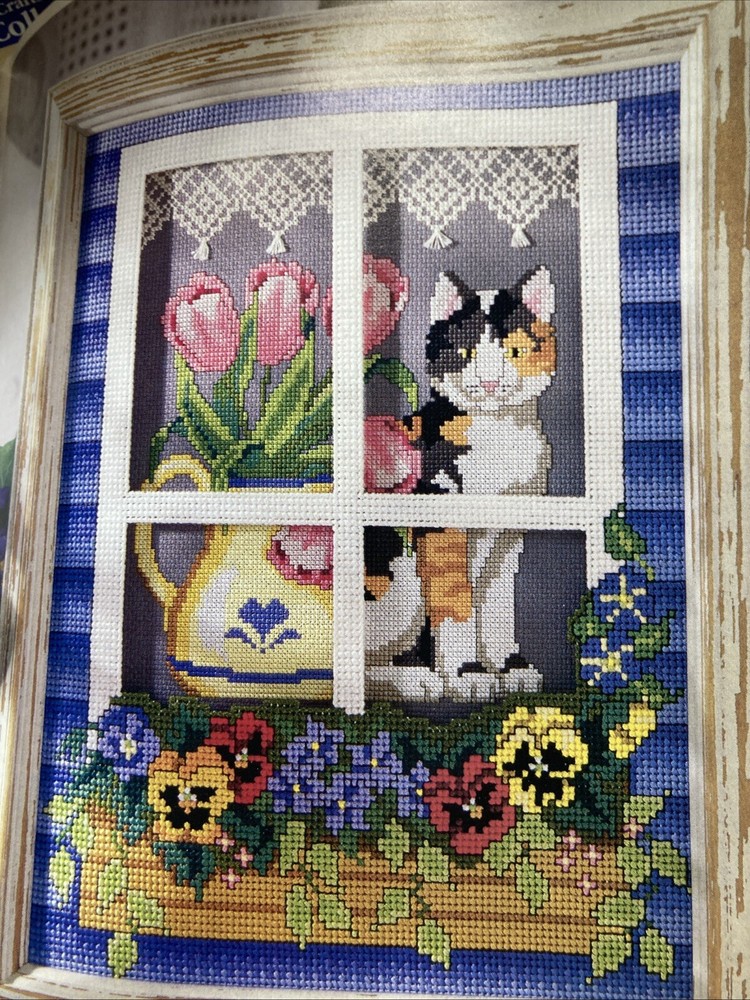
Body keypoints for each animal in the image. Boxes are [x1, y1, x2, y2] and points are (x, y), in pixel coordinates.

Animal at [365, 266, 557, 702]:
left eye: (515, 352)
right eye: (465, 353)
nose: (488, 382)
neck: (499, 434)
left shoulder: (507, 536)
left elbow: (496, 604)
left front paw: (509, 668)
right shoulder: (441, 521)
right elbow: (456, 604)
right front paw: (467, 675)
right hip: (401, 583)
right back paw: (414, 680)